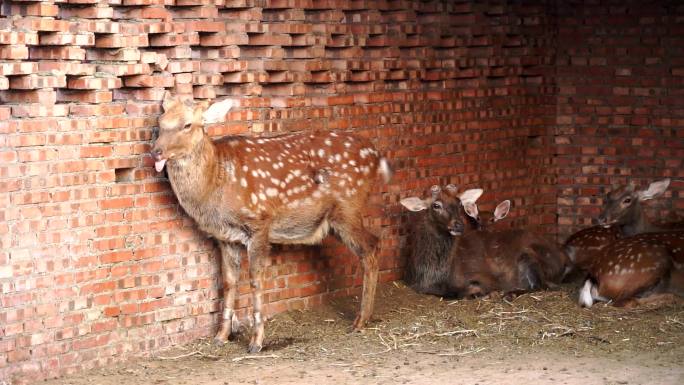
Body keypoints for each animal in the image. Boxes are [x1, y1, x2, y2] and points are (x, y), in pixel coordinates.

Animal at [153, 92, 392, 352]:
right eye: (160, 122)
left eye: (187, 125)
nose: (156, 151)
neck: (215, 181)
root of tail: (377, 156)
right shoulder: (225, 237)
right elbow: (229, 282)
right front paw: (221, 335)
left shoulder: (259, 222)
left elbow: (256, 280)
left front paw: (256, 342)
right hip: (335, 219)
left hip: (349, 207)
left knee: (372, 246)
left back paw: (360, 321)